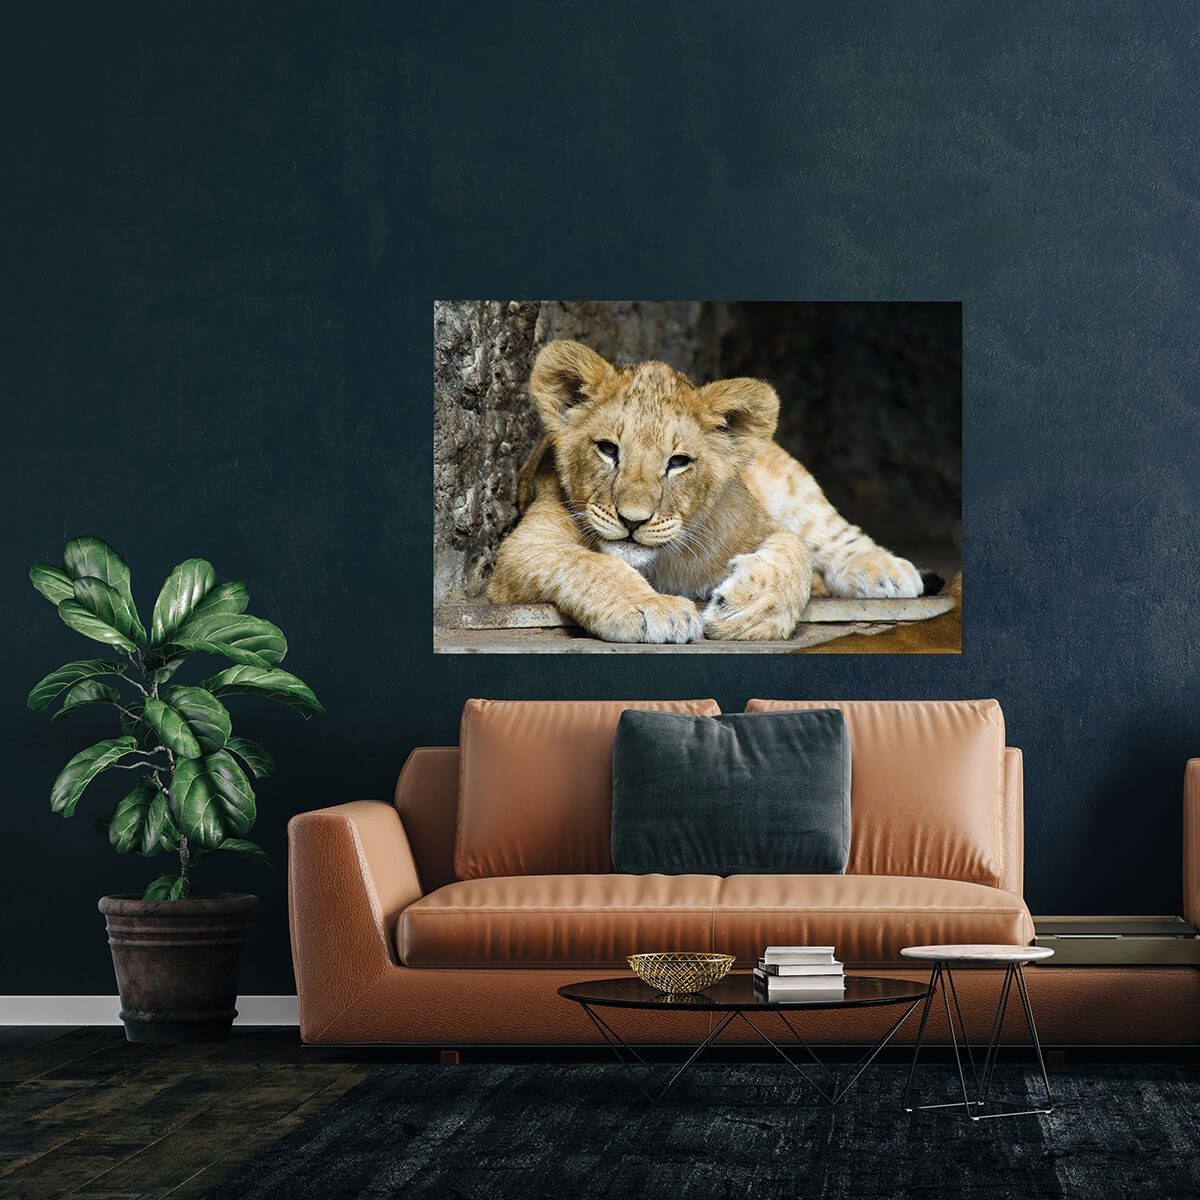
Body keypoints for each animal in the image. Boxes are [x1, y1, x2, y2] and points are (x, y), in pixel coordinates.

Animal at [487, 340, 923, 643]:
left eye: (678, 461)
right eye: (608, 449)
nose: (632, 520)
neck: (658, 564)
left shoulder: (755, 523)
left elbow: (795, 550)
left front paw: (749, 613)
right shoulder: (522, 549)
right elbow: (590, 564)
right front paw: (655, 607)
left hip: (791, 481)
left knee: (830, 531)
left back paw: (885, 572)